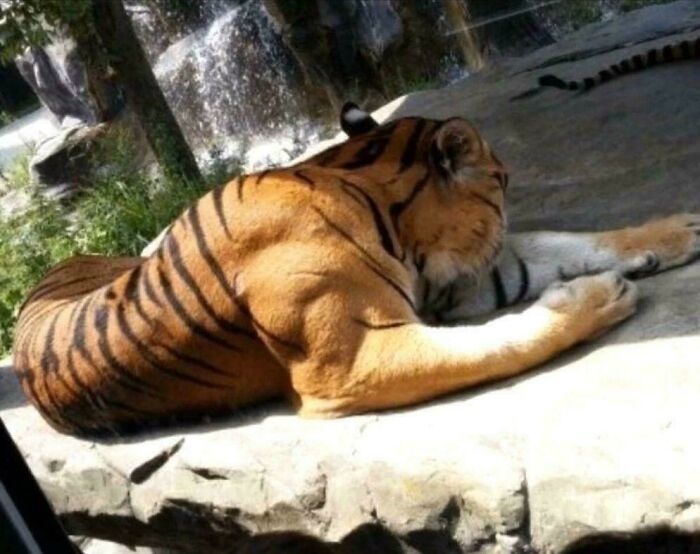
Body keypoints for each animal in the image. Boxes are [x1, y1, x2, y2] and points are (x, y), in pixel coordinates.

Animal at [10, 102, 700, 436]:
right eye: (502, 183)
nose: (502, 209)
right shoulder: (353, 358)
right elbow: (501, 341)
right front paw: (595, 298)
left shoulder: (460, 285)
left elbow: (562, 242)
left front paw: (675, 232)